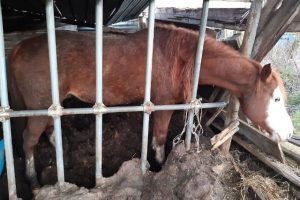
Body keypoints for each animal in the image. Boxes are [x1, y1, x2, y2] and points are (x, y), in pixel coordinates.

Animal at [7, 23, 292, 189]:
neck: (182, 57)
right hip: (39, 106)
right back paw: (32, 180)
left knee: (49, 129)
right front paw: (158, 165)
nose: (289, 133)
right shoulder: (163, 105)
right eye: (276, 99)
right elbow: (159, 139)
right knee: (29, 139)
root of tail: (20, 47)